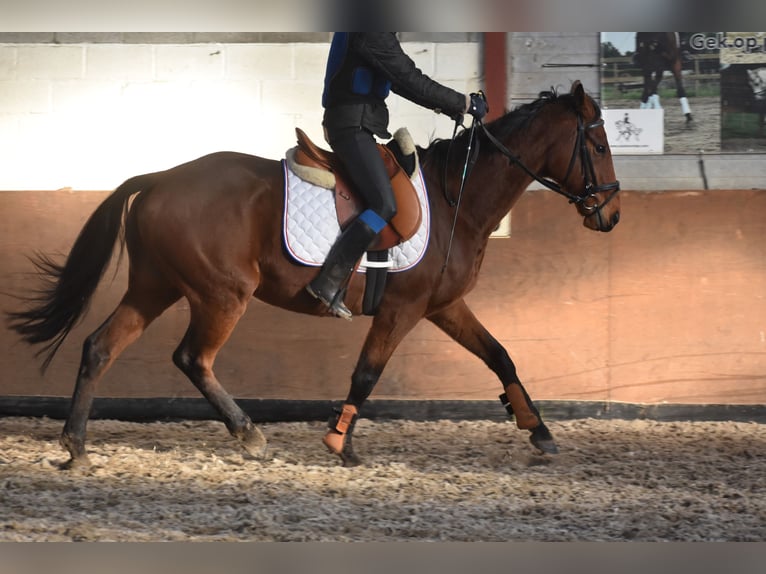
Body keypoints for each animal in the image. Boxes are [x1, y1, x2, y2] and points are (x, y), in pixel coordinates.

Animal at [4, 81, 624, 470]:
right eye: (596, 144)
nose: (612, 215)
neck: (459, 197)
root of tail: (160, 177)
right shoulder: (402, 309)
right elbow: (367, 374)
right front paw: (339, 441)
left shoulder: (443, 306)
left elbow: (500, 355)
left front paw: (538, 429)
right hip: (221, 294)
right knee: (192, 357)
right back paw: (248, 433)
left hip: (155, 286)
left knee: (99, 347)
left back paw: (77, 445)